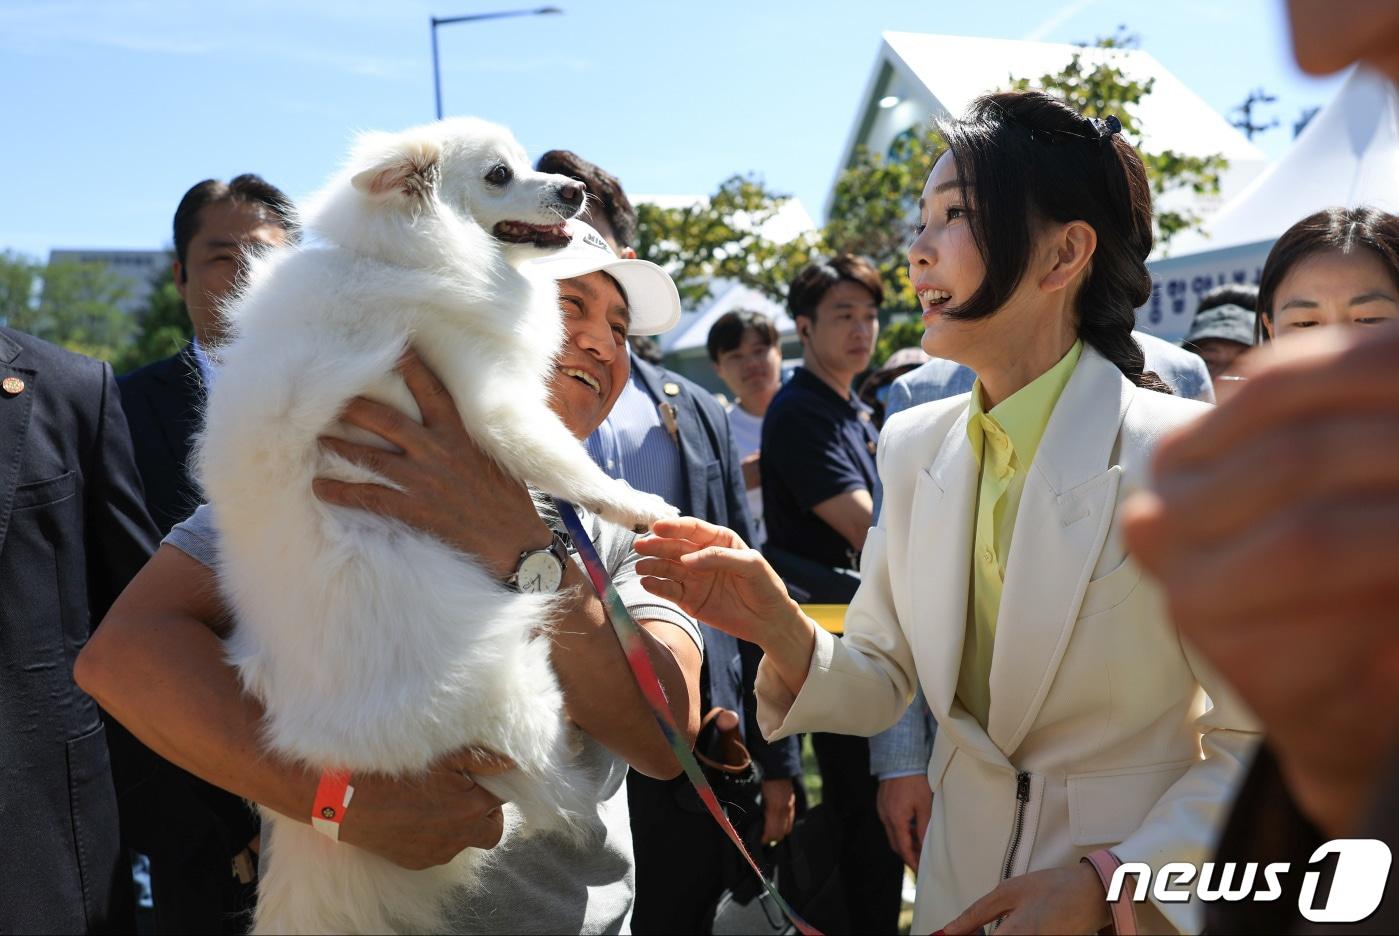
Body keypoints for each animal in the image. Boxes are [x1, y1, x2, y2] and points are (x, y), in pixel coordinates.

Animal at [198, 118, 677, 934]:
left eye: (526, 165)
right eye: (498, 176)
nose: (572, 192)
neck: (403, 253)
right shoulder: (492, 404)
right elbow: (568, 464)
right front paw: (641, 504)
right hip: (519, 686)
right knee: (545, 789)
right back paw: (574, 800)